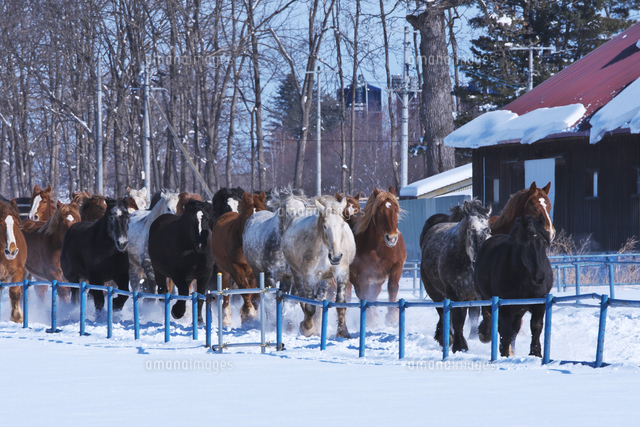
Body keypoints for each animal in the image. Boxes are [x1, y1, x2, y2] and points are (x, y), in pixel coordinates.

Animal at [282, 196, 355, 338]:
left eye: (342, 224)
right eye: (325, 226)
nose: (336, 257)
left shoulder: (342, 273)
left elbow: (340, 303)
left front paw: (343, 331)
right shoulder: (309, 277)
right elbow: (310, 307)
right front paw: (307, 328)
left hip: (325, 279)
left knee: (320, 299)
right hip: (297, 274)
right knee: (303, 299)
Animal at [347, 187, 406, 328]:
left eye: (395, 211)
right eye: (379, 212)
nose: (392, 238)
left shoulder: (396, 267)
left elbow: (392, 288)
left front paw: (392, 317)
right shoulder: (361, 274)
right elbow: (364, 295)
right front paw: (370, 320)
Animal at [420, 199, 492, 353]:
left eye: (488, 230)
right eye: (470, 231)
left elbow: (486, 311)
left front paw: (485, 333)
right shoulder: (454, 293)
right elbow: (458, 319)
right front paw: (460, 346)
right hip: (435, 292)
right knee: (443, 313)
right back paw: (446, 337)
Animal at [475, 215, 553, 358]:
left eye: (544, 243)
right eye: (526, 244)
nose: (539, 277)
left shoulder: (539, 305)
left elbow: (536, 327)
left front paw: (536, 353)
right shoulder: (504, 307)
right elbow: (505, 331)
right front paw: (505, 353)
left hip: (518, 310)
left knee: (514, 329)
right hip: (486, 297)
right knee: (491, 319)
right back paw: (486, 335)